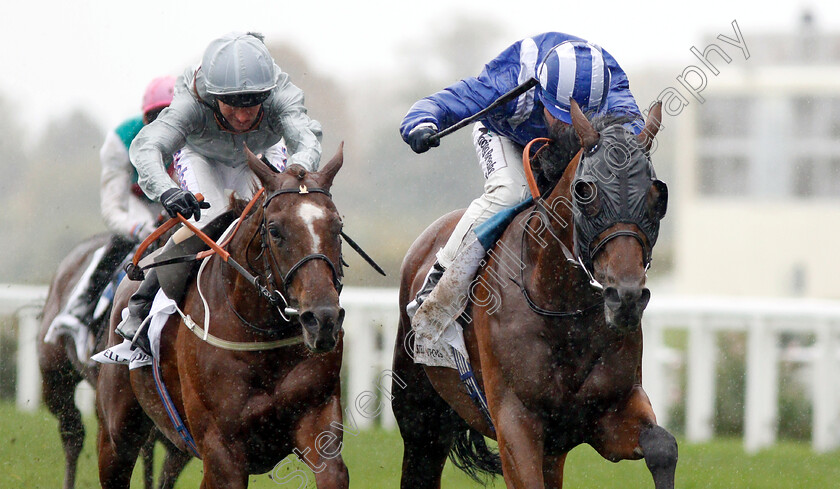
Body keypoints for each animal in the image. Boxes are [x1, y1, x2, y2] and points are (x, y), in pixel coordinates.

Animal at [97, 144, 348, 488]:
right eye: (274, 230)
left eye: (338, 227)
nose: (322, 319)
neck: (260, 333)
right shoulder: (221, 451)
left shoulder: (317, 417)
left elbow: (332, 470)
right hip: (116, 435)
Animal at [394, 100, 676, 488]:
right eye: (585, 192)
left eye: (657, 195)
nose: (627, 298)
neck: (562, 306)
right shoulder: (515, 420)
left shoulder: (608, 411)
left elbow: (663, 445)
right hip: (420, 415)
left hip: (550, 453)